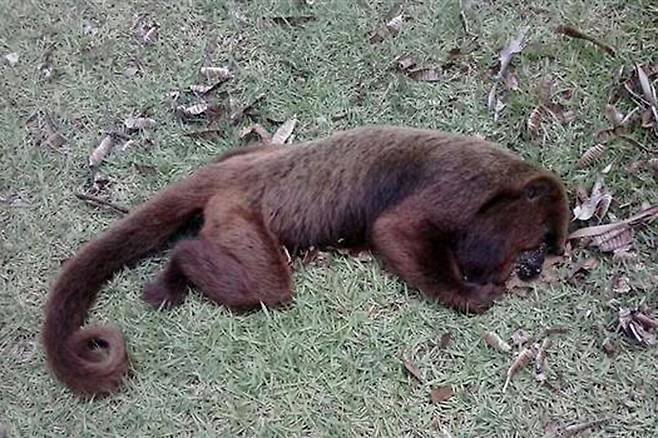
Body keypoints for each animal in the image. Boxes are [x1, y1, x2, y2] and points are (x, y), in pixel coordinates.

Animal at [42, 125, 568, 396]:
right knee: (267, 287)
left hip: (242, 166)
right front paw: (470, 292)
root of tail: (233, 173)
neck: (501, 186)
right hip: (236, 213)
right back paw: (182, 262)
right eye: (539, 244)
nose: (533, 269)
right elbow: (395, 230)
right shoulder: (463, 186)